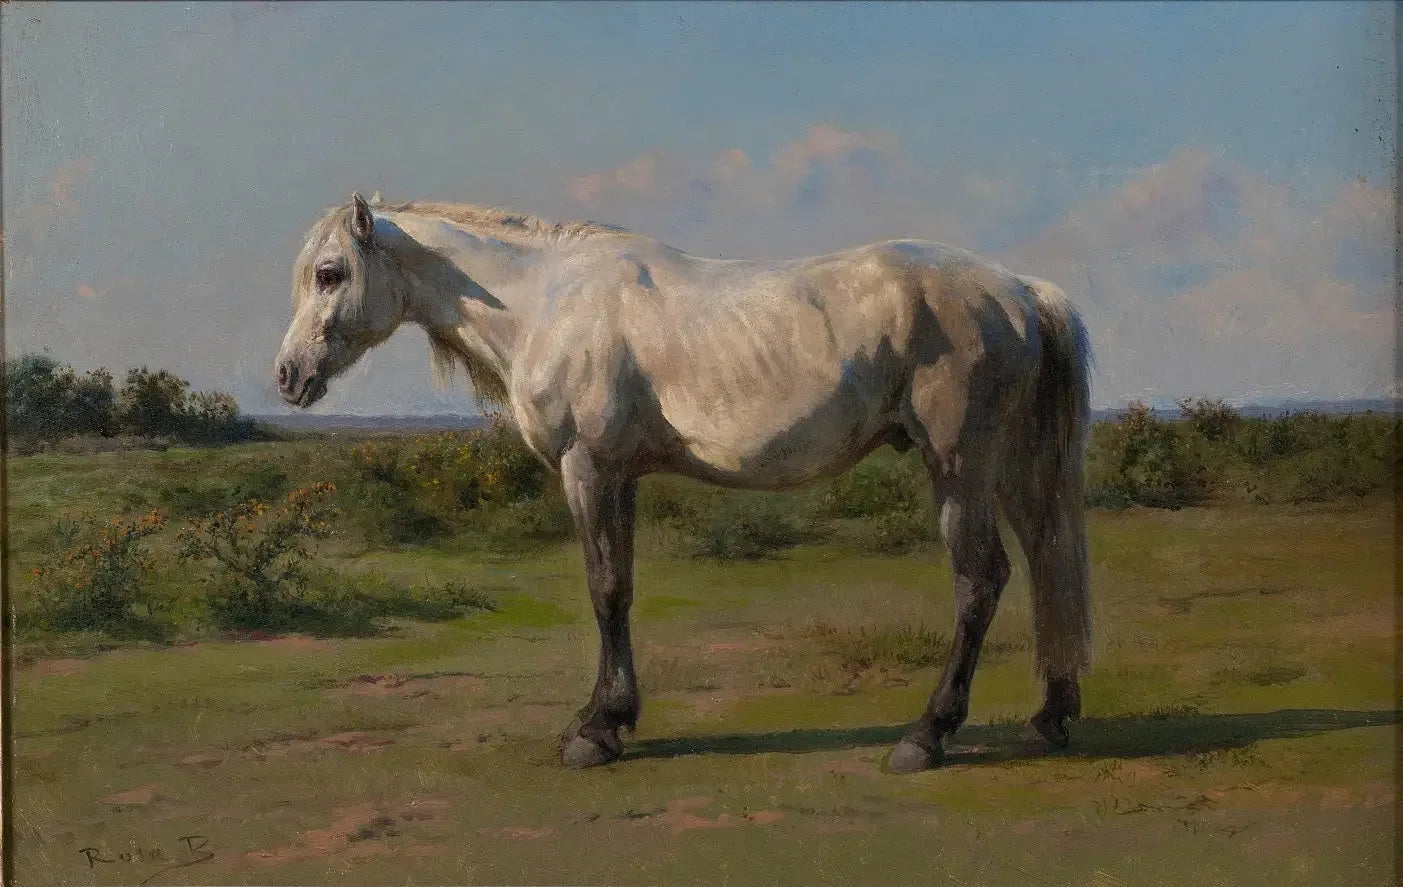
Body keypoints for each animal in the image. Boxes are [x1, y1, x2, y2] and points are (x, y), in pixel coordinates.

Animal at [274, 192, 1093, 773]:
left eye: (329, 274)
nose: (287, 376)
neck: (547, 301)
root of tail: (1020, 290)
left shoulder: (588, 467)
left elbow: (605, 590)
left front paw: (597, 732)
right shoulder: (620, 476)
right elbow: (622, 587)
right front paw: (608, 718)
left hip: (958, 463)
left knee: (981, 578)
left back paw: (926, 736)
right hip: (1010, 465)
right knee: (1047, 558)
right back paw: (1050, 715)